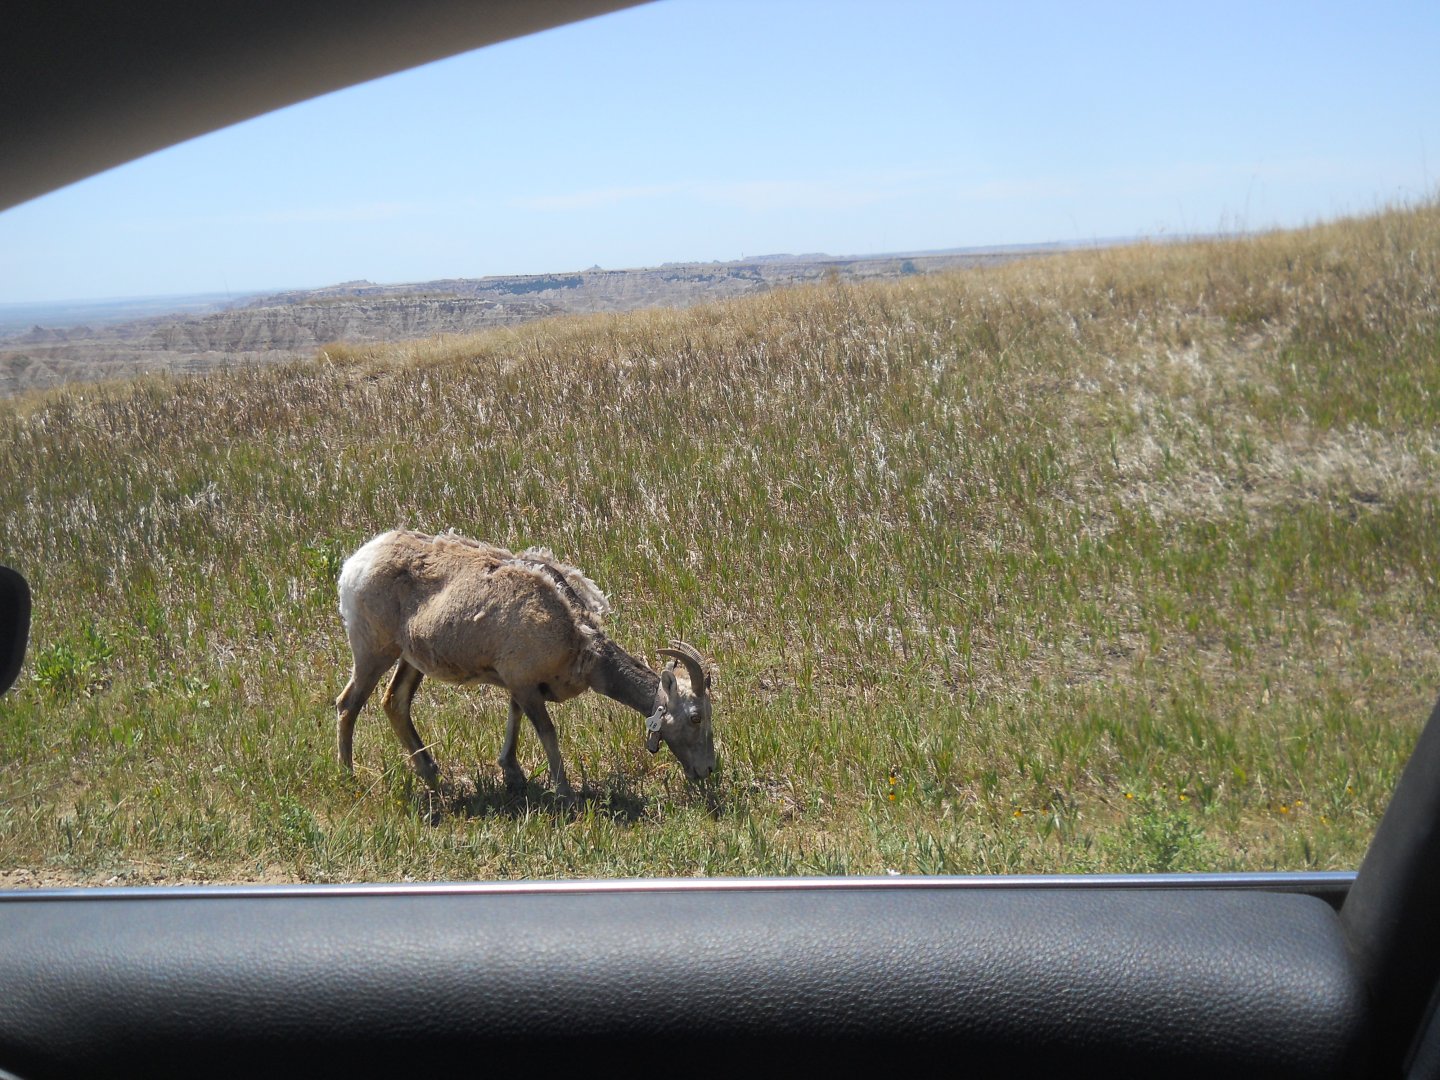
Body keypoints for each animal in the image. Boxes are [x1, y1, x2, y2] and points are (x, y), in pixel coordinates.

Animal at [335, 528, 716, 802]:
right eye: (696, 717)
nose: (708, 770)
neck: (577, 637)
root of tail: (356, 563)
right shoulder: (524, 683)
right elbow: (547, 732)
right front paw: (565, 793)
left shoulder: (519, 685)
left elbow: (514, 719)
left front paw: (513, 775)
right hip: (373, 652)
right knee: (348, 705)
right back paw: (349, 779)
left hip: (410, 660)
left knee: (395, 702)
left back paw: (433, 777)